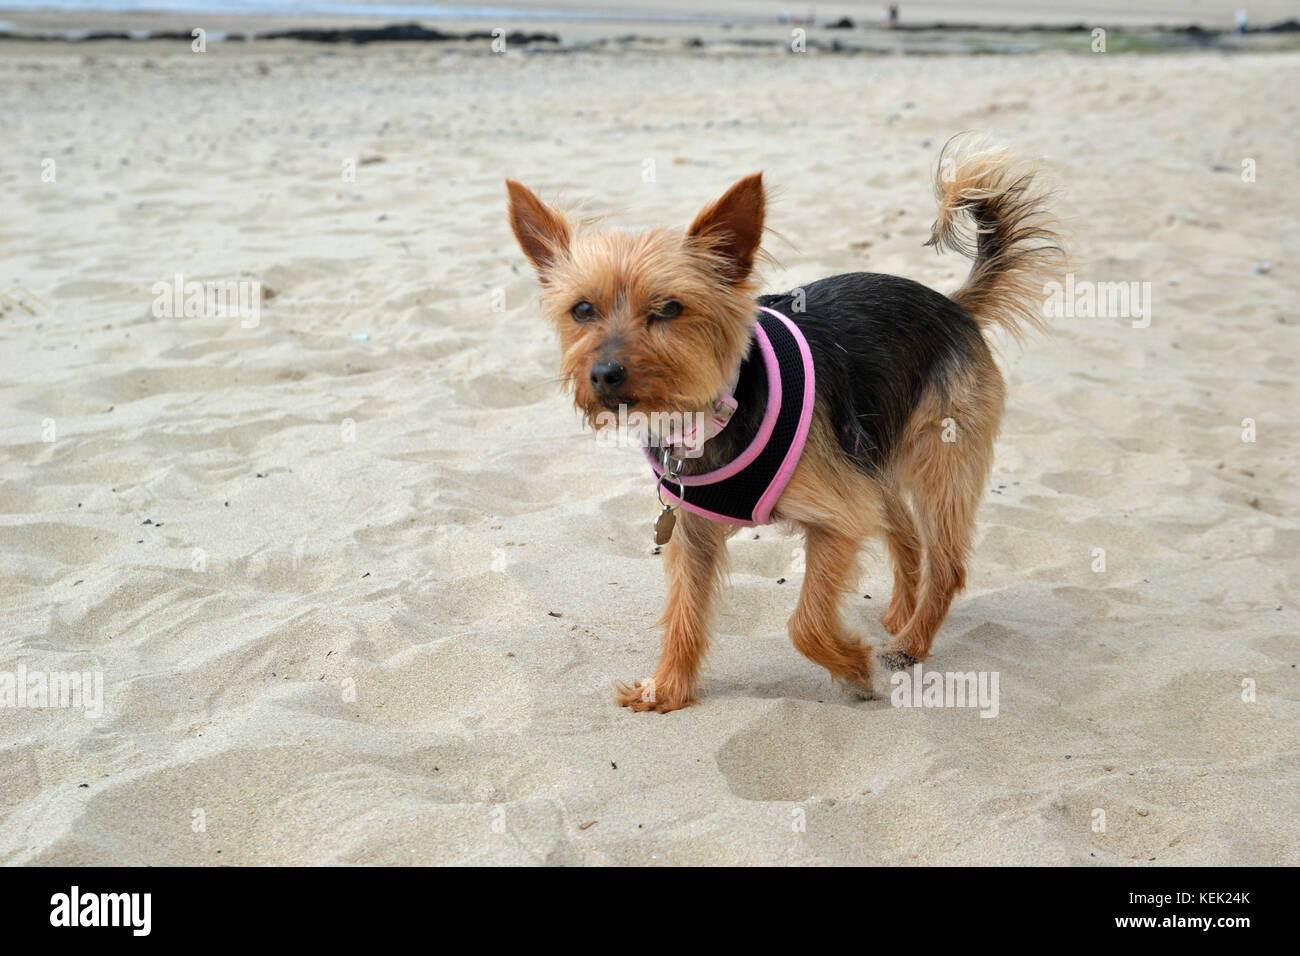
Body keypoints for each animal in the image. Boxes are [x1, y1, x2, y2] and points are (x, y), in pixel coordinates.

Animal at [501, 138, 1060, 712]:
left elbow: (805, 624)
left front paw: (853, 668)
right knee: (907, 538)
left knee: (946, 563)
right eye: (582, 310)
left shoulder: (839, 516)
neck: (708, 414)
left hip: (938, 462)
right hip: (873, 462)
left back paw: (910, 644)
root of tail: (953, 306)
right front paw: (668, 688)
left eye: (670, 308)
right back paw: (901, 618)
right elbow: (684, 612)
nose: (605, 374)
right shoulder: (693, 533)